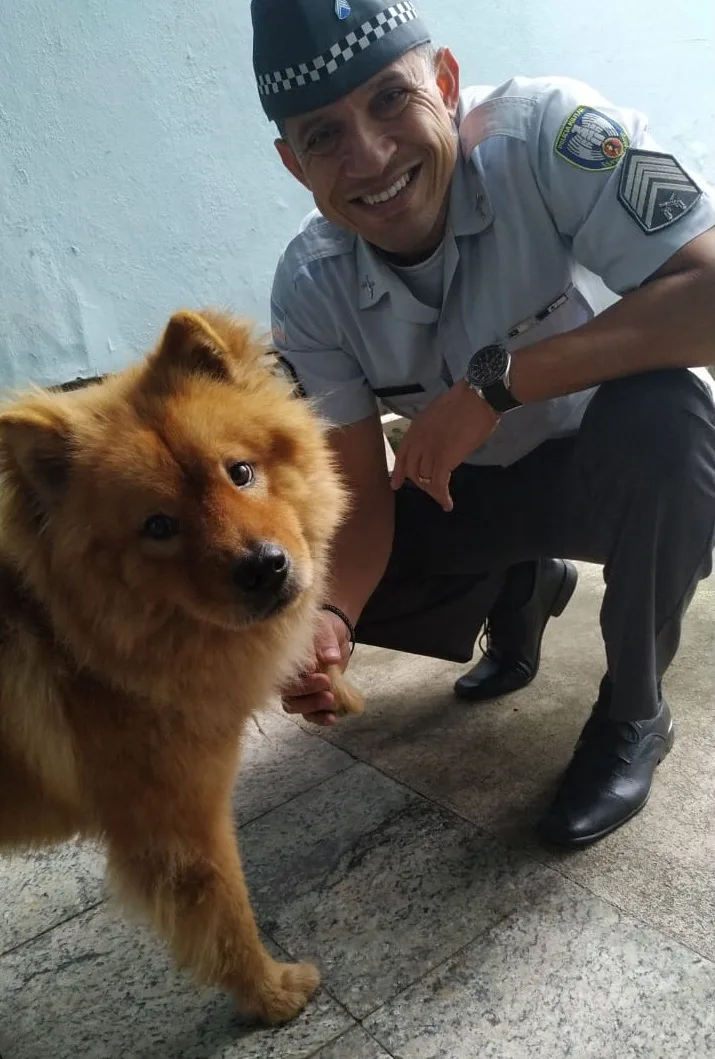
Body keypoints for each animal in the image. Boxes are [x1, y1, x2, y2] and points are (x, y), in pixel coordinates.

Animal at [0, 309, 364, 1020]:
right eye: (158, 526)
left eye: (240, 472)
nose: (264, 567)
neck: (69, 635)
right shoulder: (182, 822)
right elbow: (228, 917)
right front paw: (271, 997)